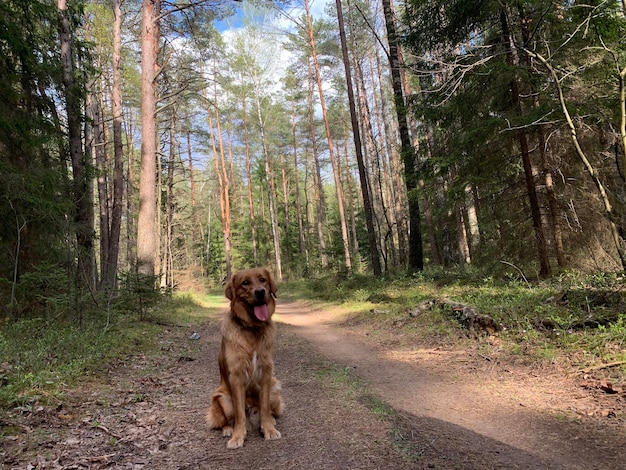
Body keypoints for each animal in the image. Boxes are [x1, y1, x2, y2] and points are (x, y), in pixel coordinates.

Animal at [205, 268, 282, 448]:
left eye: (263, 280)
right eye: (245, 283)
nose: (260, 292)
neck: (252, 328)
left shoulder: (266, 373)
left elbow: (265, 408)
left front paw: (269, 429)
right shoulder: (237, 376)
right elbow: (239, 413)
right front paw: (237, 436)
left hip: (275, 386)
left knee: (268, 410)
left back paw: (271, 420)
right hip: (221, 398)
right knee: (226, 420)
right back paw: (228, 430)